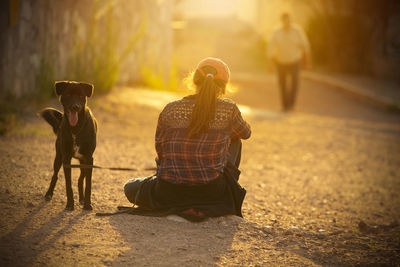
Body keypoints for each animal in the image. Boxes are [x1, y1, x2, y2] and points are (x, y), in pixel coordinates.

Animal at [39, 81, 97, 211]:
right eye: (68, 95)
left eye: (81, 96)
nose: (75, 107)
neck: (75, 129)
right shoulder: (66, 159)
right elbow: (68, 184)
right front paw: (70, 204)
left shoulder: (89, 159)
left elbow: (88, 184)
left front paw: (87, 204)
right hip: (58, 157)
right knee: (55, 175)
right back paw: (49, 193)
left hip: (83, 162)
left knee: (81, 179)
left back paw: (82, 199)